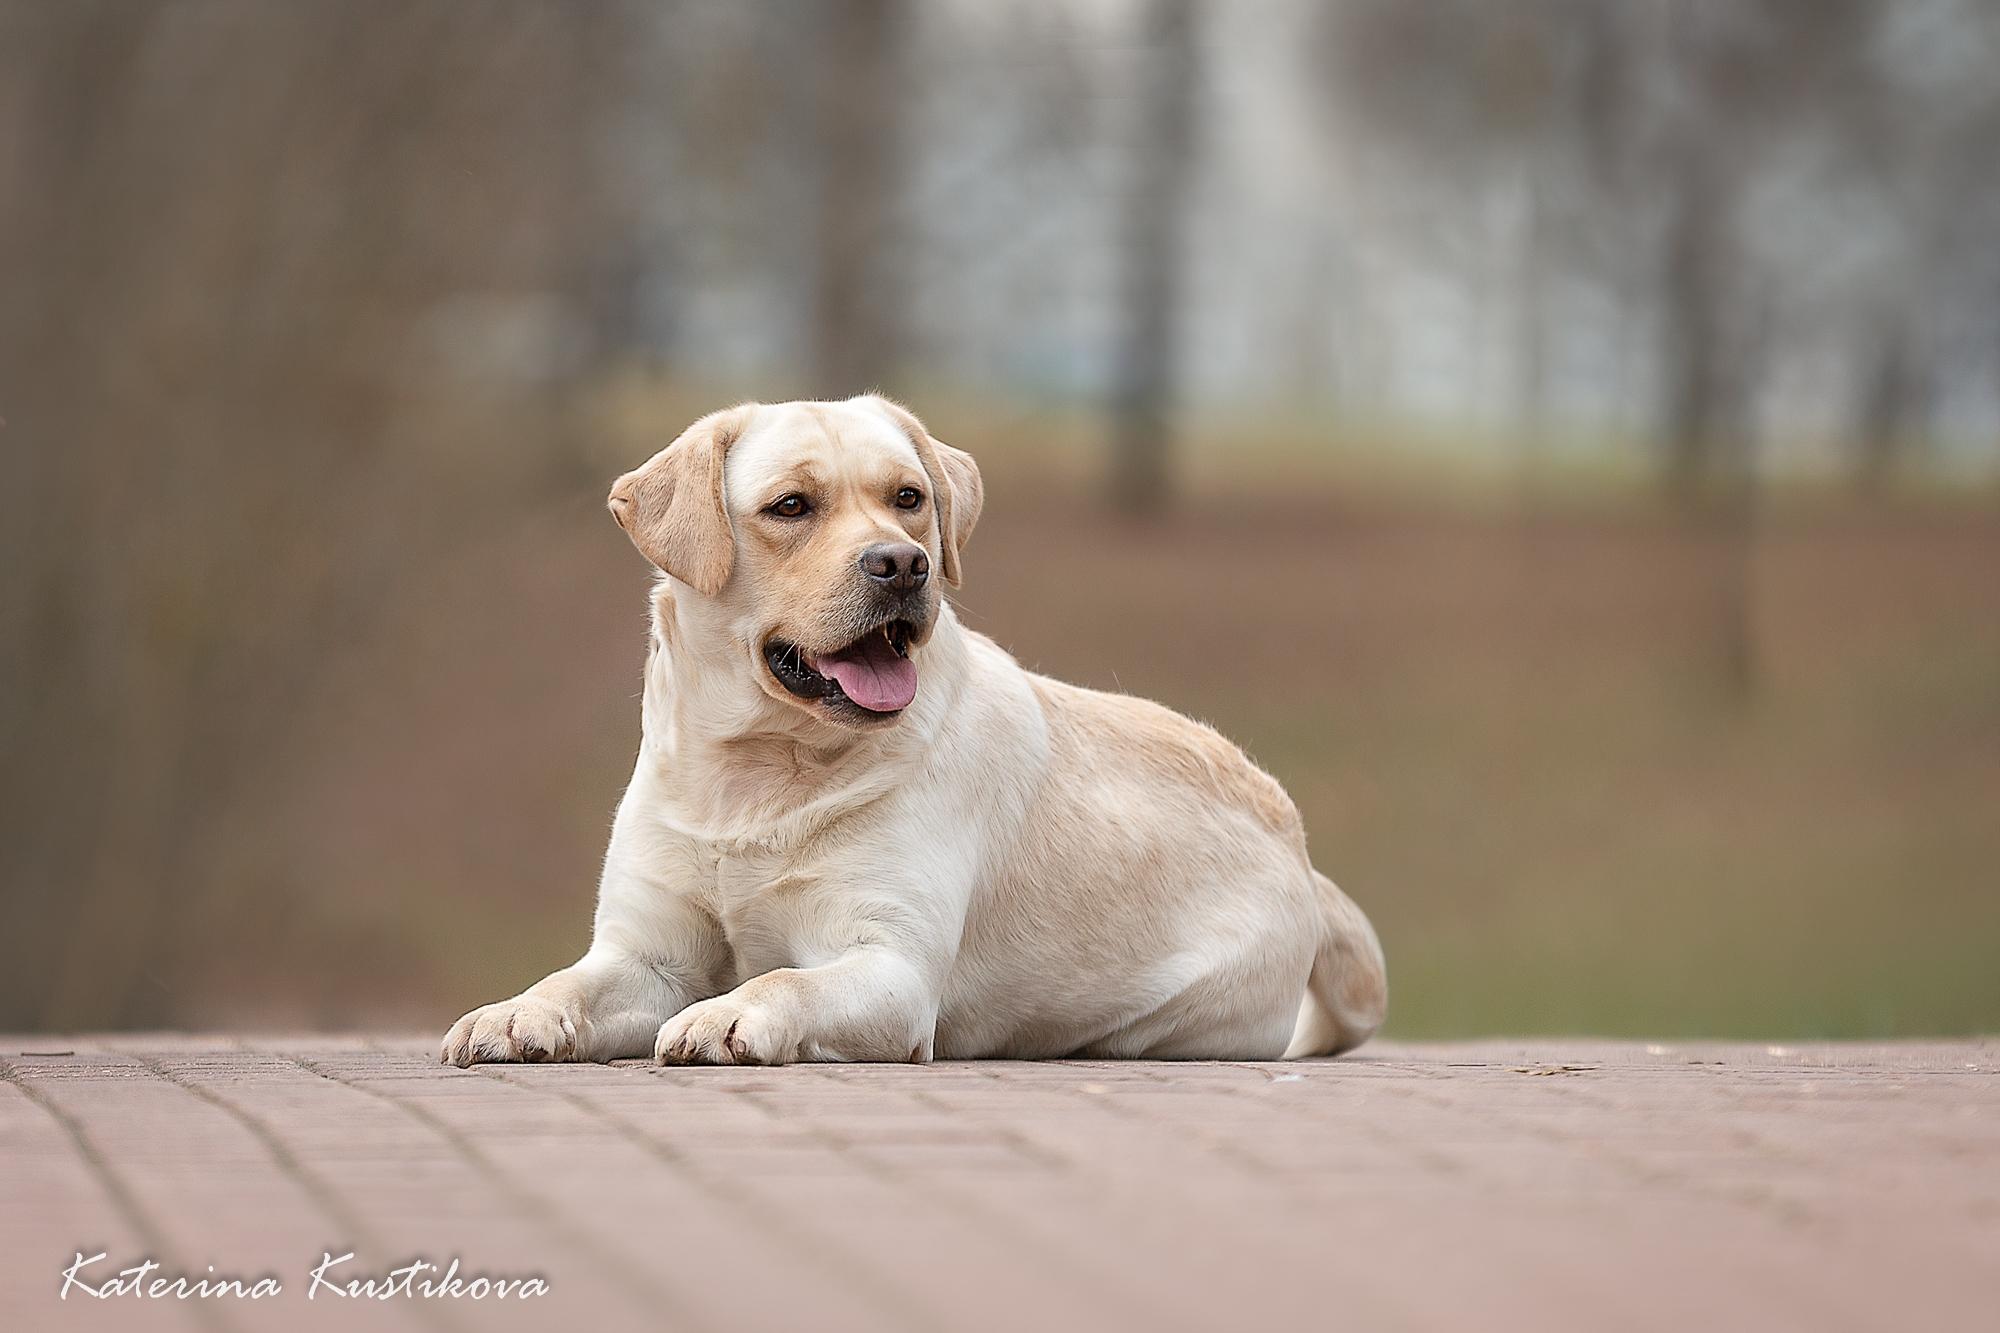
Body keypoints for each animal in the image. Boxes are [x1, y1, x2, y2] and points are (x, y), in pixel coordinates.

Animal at [444, 396, 1384, 1072]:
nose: (902, 563)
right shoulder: (647, 954)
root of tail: (1298, 843)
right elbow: (568, 979)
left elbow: (783, 977)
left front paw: (730, 1013)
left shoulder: (890, 965)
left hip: (1173, 1014)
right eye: (791, 506)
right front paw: (513, 1012)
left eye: (909, 498)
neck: (759, 774)